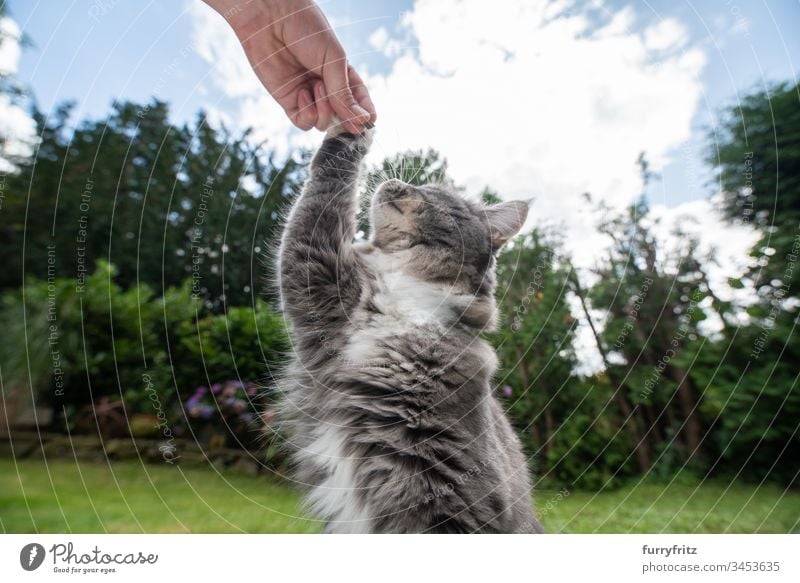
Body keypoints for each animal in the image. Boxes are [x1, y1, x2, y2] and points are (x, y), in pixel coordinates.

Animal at [276, 125, 544, 536]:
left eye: (436, 196)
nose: (398, 182)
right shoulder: (316, 275)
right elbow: (317, 200)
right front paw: (351, 124)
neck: (405, 289)